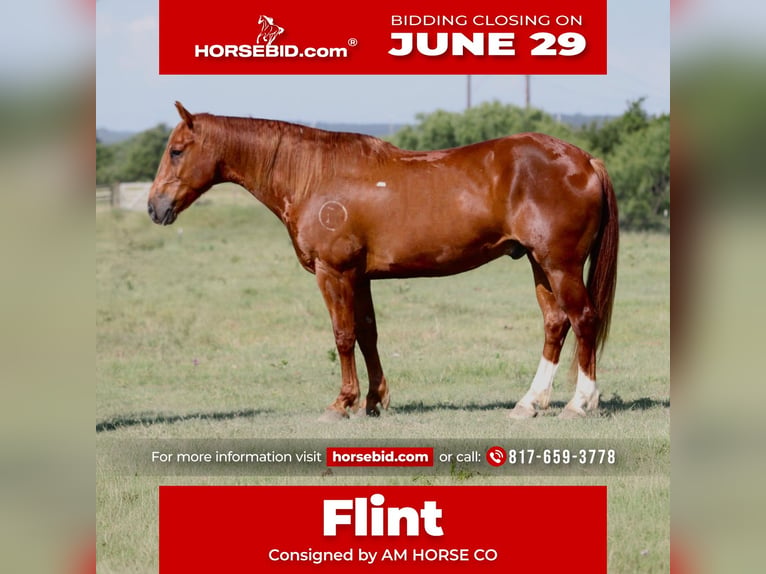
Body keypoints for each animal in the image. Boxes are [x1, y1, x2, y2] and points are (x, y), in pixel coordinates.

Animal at [148, 102, 618, 420]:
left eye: (176, 151)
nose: (155, 207)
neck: (316, 177)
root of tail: (584, 160)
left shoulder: (333, 273)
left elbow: (342, 336)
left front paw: (342, 403)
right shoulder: (359, 277)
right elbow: (368, 334)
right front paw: (374, 401)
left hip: (560, 265)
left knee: (583, 319)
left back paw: (580, 403)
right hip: (540, 264)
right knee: (555, 324)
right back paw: (529, 403)